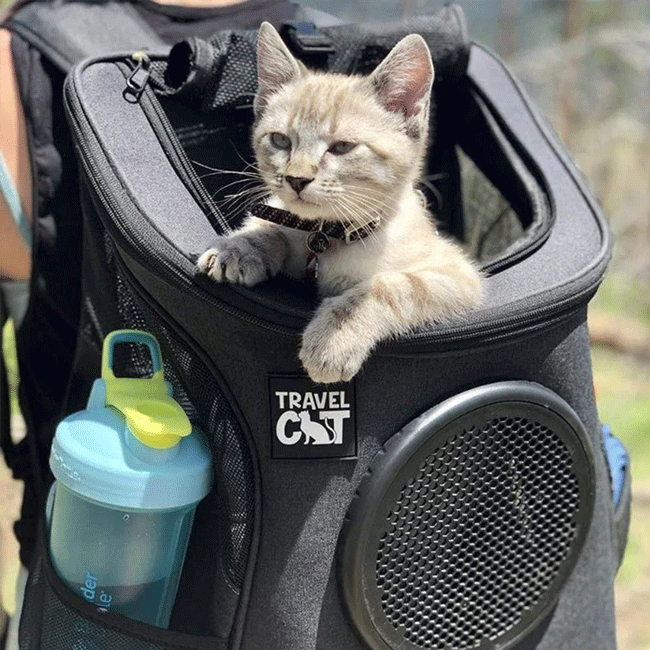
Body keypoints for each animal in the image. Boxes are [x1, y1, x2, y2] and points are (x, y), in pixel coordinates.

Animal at [197, 22, 480, 382]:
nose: (297, 179)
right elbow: (272, 224)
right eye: (280, 140)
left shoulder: (458, 275)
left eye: (342, 147)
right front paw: (240, 247)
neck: (326, 235)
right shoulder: (283, 213)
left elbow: (389, 286)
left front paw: (335, 337)